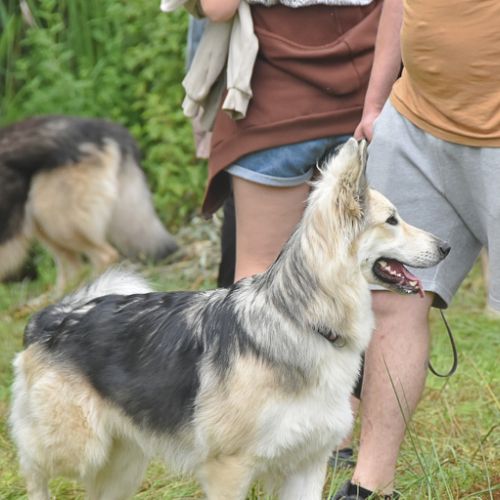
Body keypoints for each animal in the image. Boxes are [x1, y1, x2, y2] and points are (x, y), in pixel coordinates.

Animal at [9, 139, 450, 500]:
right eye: (392, 220)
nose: (447, 246)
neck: (300, 319)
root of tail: (53, 316)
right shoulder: (229, 469)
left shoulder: (308, 466)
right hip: (76, 447)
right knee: (32, 465)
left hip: (122, 463)